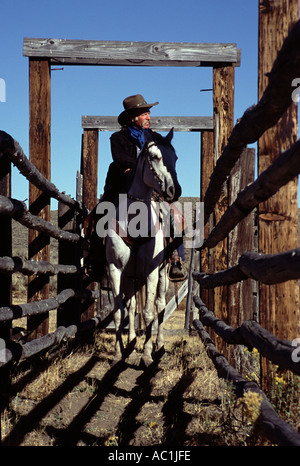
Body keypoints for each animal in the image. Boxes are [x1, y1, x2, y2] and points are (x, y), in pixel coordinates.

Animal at [104, 128, 182, 368]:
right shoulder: (116, 269)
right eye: (155, 157)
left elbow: (148, 312)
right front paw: (118, 353)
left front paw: (147, 354)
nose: (174, 190)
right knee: (130, 306)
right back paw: (130, 344)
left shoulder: (151, 271)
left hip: (163, 275)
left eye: (175, 158)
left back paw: (159, 344)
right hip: (130, 277)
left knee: (160, 305)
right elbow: (119, 312)